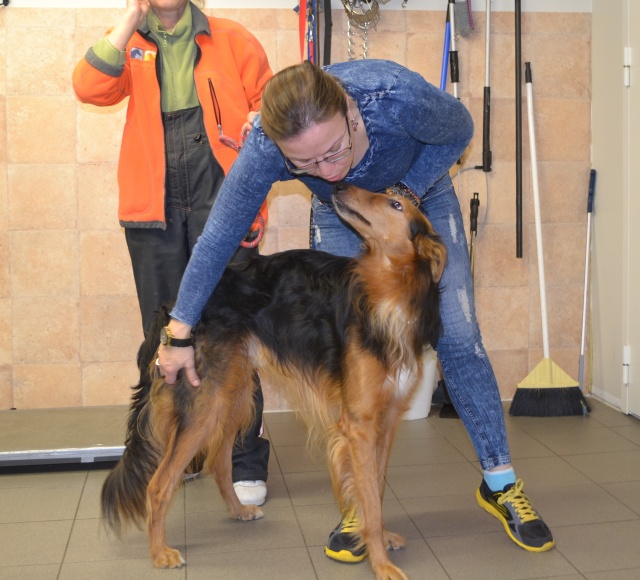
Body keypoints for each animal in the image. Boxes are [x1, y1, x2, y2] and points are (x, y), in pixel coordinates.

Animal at [101, 184, 447, 580]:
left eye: (395, 204)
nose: (340, 186)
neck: (389, 293)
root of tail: (175, 309)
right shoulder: (359, 424)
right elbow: (369, 499)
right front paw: (381, 563)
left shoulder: (386, 420)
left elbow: (376, 487)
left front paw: (380, 538)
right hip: (206, 404)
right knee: (158, 485)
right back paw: (160, 553)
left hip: (233, 395)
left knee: (218, 462)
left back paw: (238, 510)